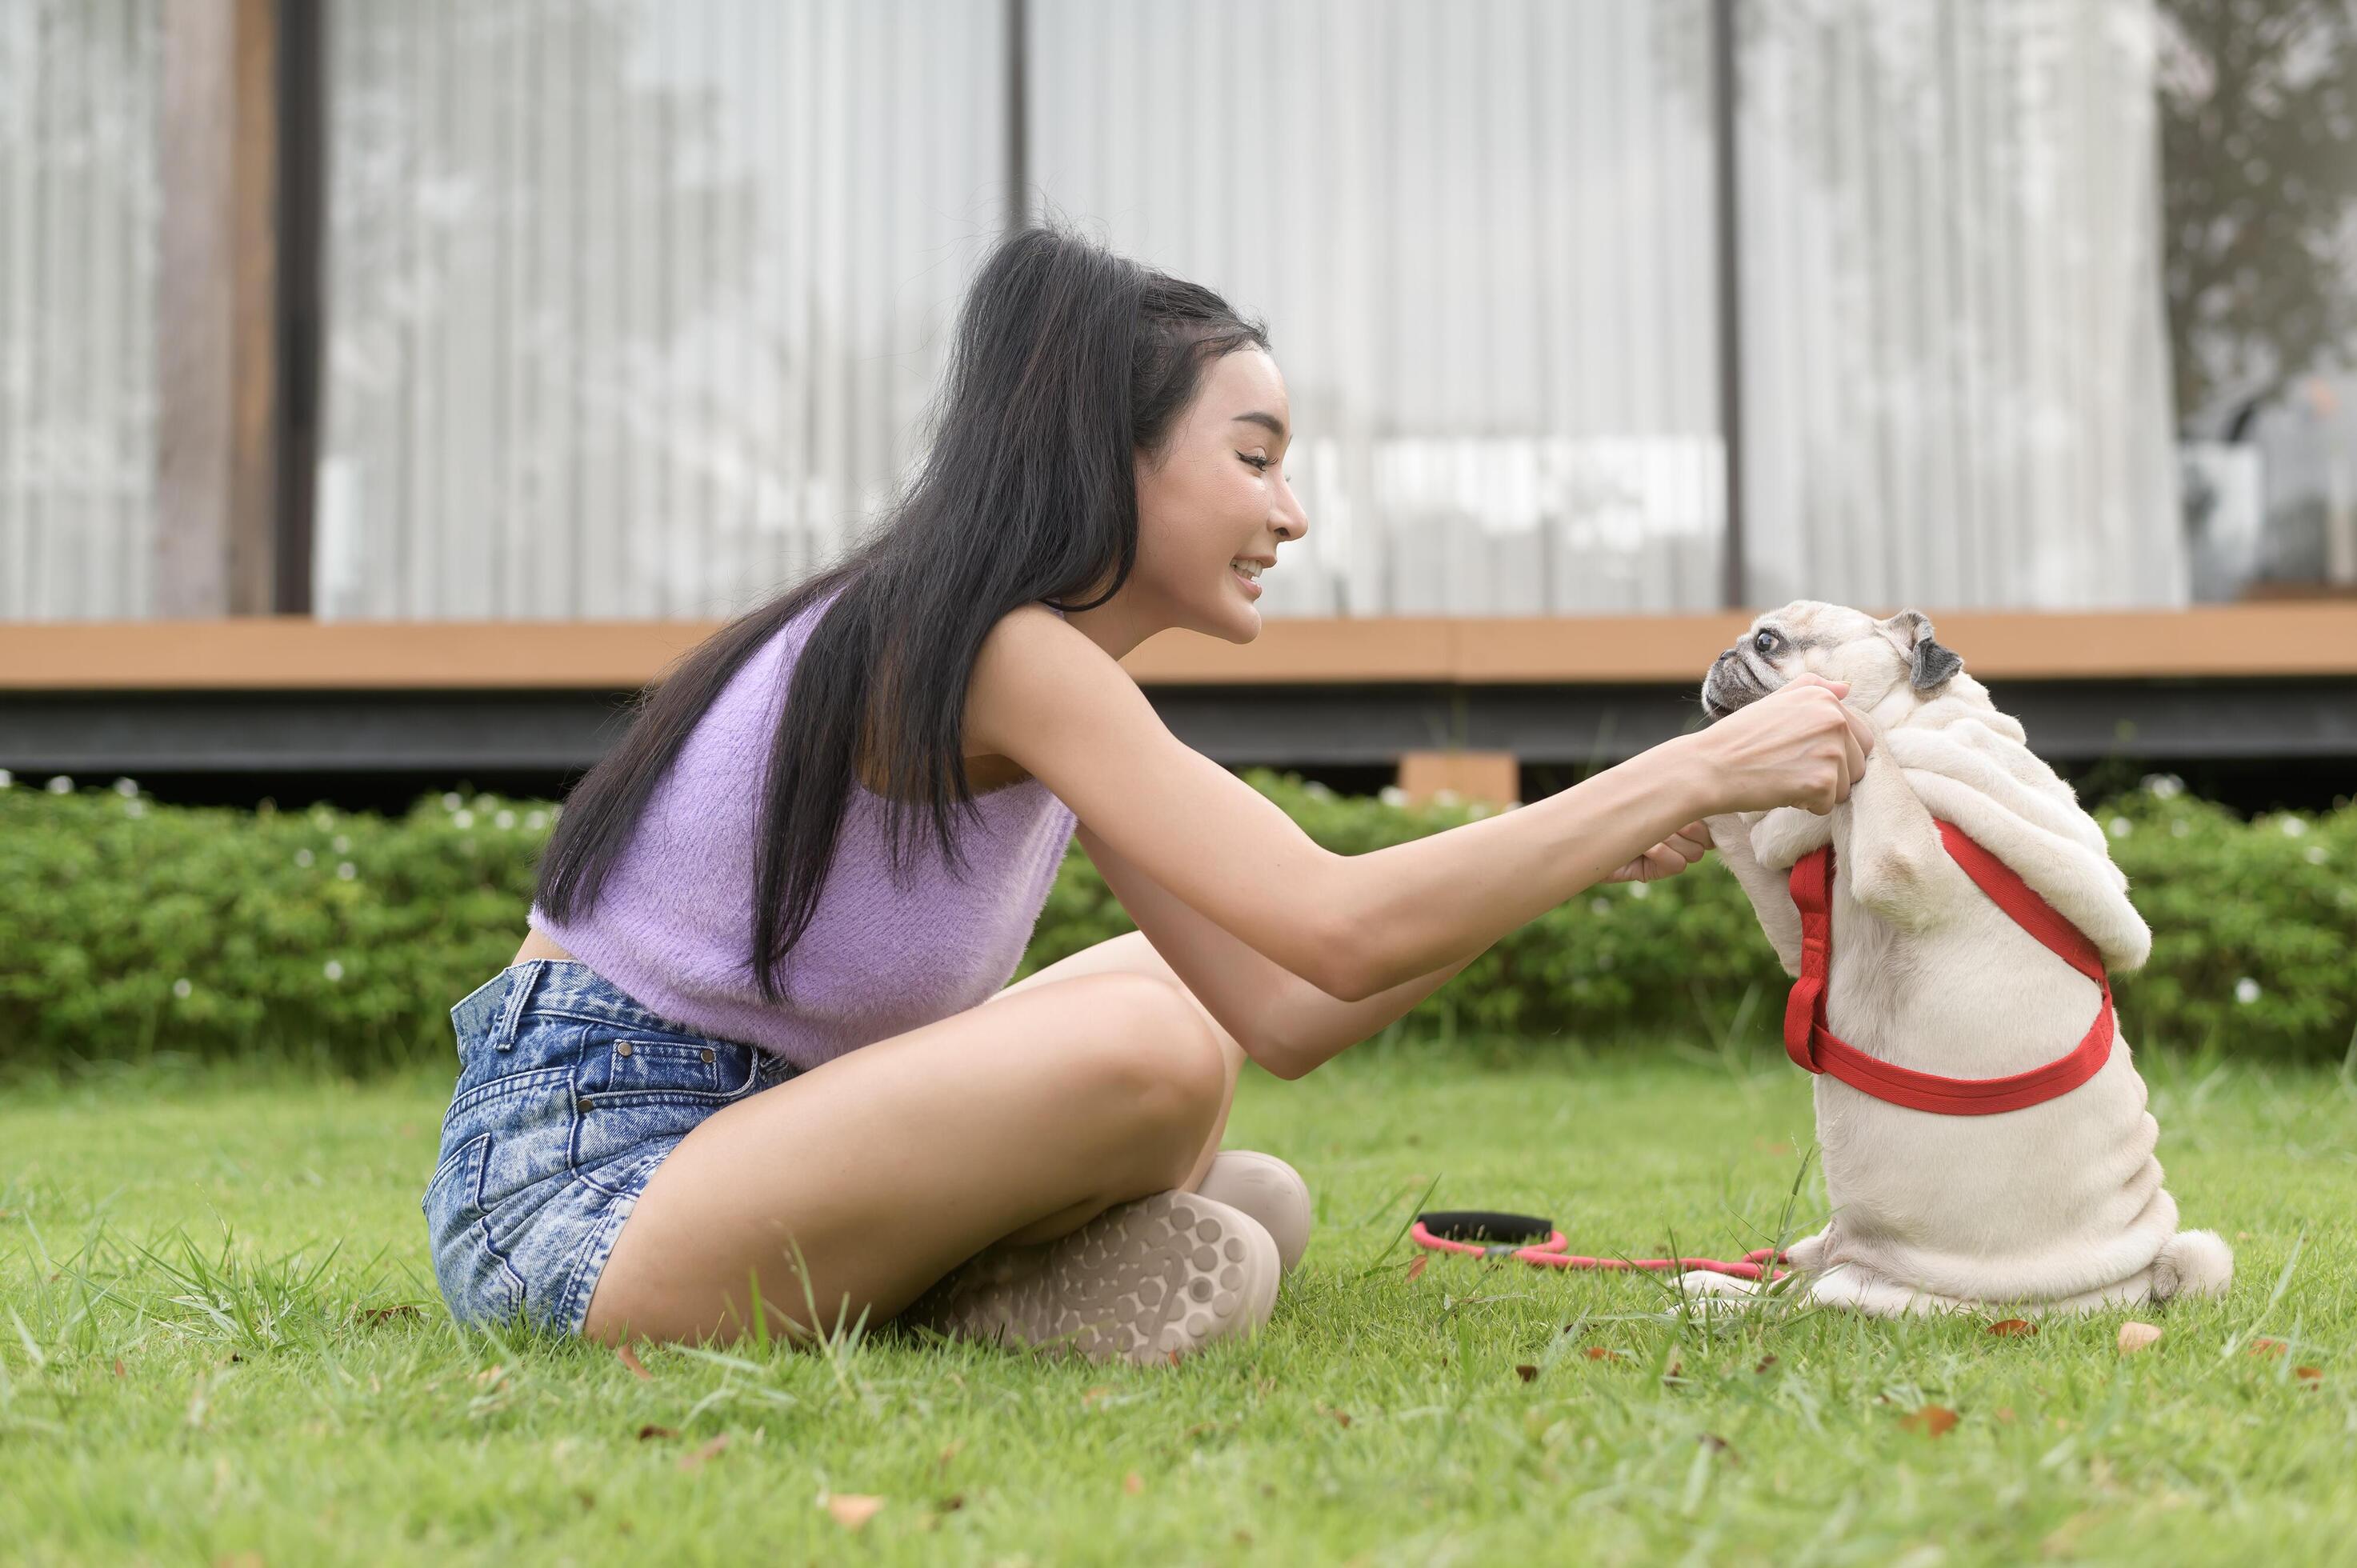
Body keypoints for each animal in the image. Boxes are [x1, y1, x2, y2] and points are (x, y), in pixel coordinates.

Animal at [1678, 603, 2225, 1310]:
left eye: (1768, 641)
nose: (1725, 653)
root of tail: (2139, 1281)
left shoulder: (1905, 861)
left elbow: (1869, 748)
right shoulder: (1792, 917)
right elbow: (1744, 843)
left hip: (1870, 1291)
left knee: (1793, 1304)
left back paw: (1716, 1304)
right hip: (1828, 1248)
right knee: (1784, 1275)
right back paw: (1711, 1285)